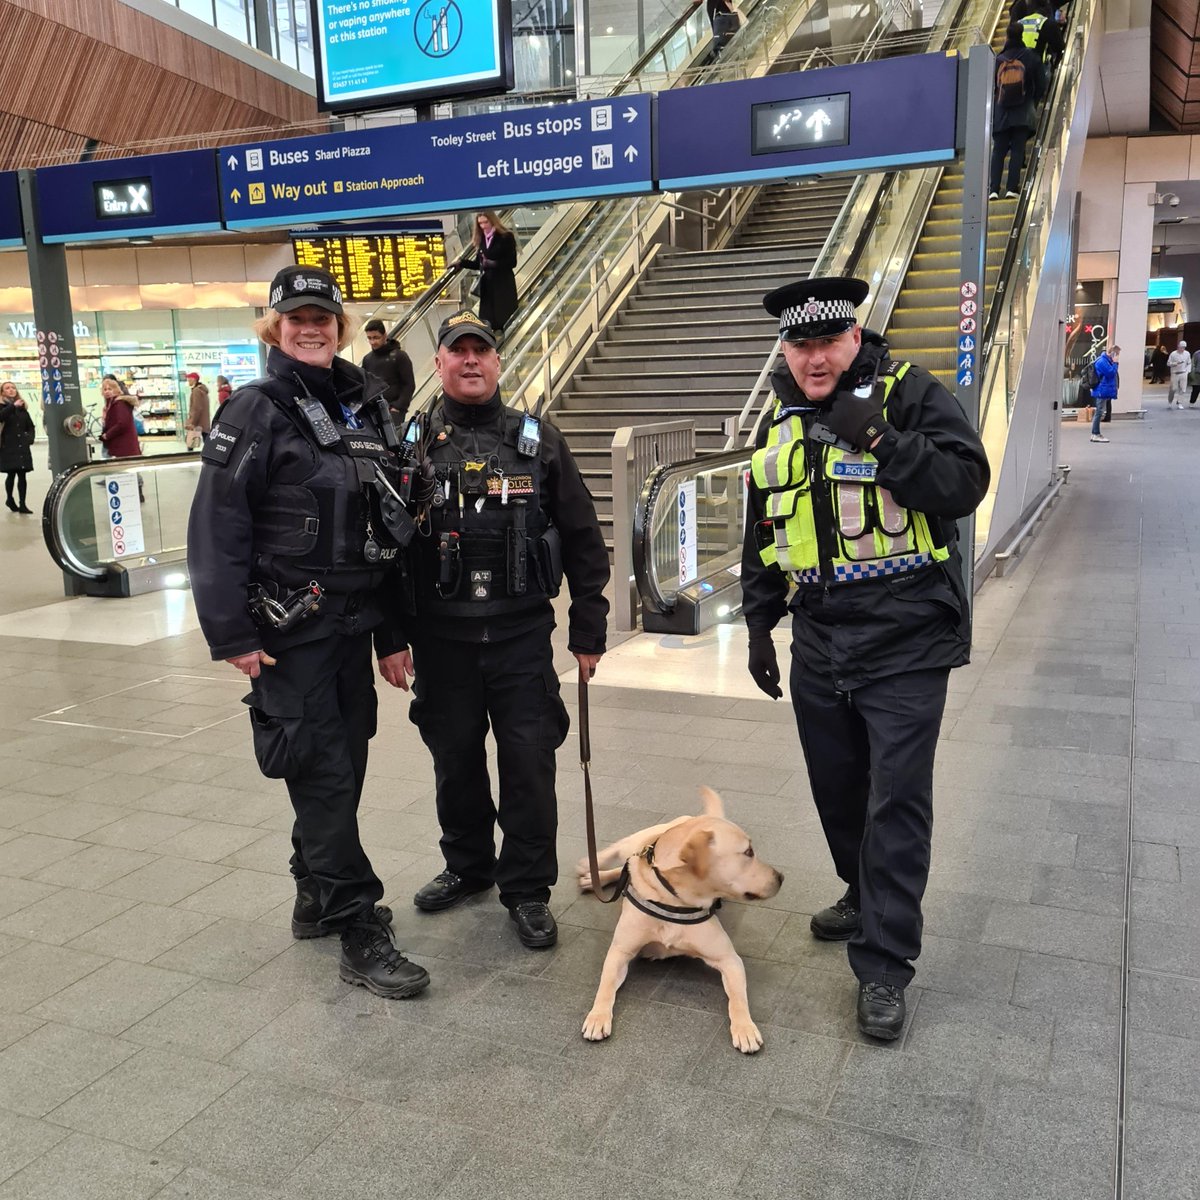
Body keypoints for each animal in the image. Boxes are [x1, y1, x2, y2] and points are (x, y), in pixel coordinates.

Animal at [576, 792, 782, 1056]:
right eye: (748, 852)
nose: (781, 877)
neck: (673, 898)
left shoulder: (729, 959)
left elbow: (738, 998)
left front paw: (745, 1028)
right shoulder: (619, 952)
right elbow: (605, 986)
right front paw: (597, 1017)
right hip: (636, 841)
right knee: (621, 855)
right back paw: (593, 872)